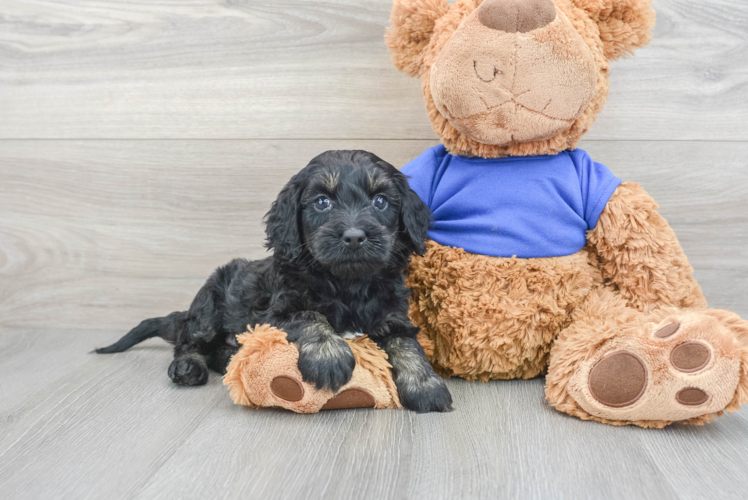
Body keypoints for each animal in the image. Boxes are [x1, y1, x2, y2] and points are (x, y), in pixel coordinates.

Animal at [97, 149, 452, 414]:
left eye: (380, 201)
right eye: (322, 202)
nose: (354, 236)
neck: (347, 283)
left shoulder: (393, 315)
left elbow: (408, 344)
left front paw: (426, 385)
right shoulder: (277, 311)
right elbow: (311, 315)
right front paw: (328, 357)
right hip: (209, 304)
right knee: (189, 341)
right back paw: (188, 367)